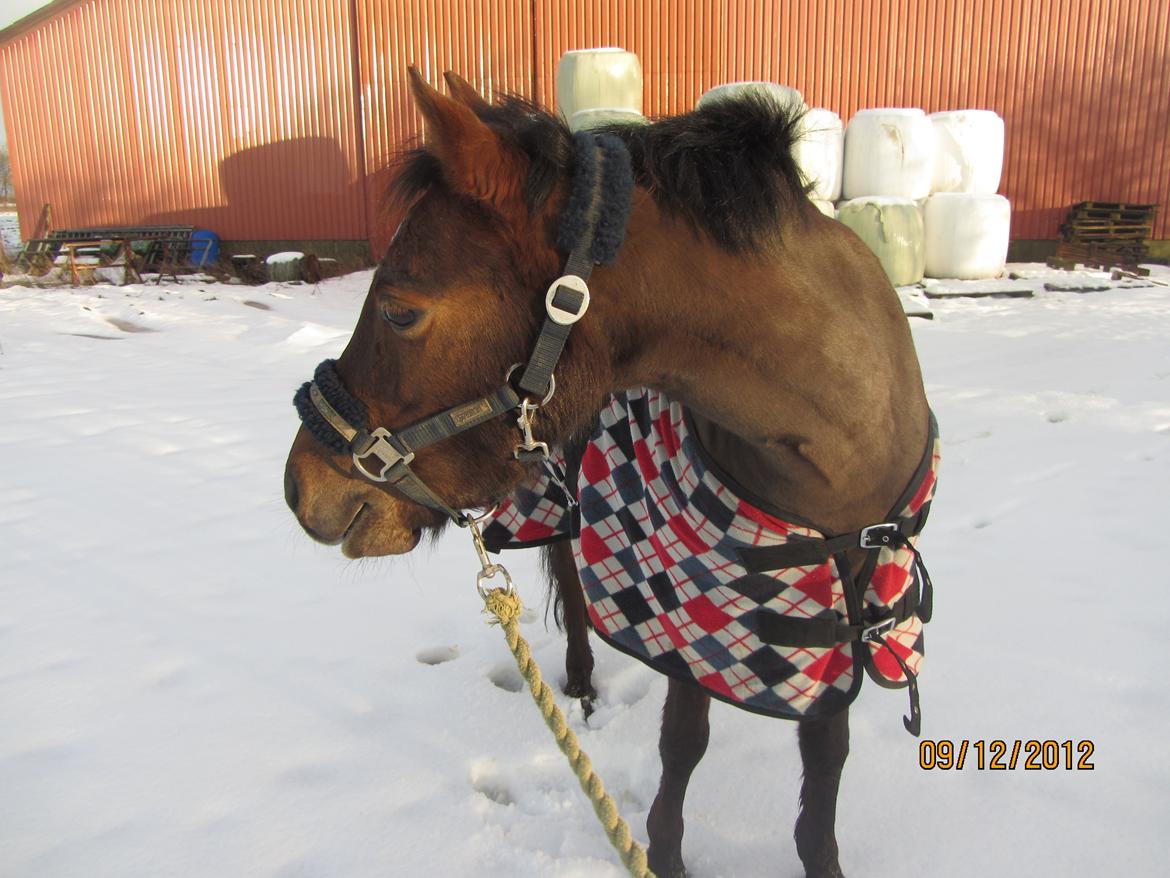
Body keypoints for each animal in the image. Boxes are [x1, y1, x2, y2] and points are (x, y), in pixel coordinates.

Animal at [284, 69, 935, 878]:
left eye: (401, 310)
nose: (301, 488)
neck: (841, 457)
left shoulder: (842, 618)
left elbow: (826, 754)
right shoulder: (695, 614)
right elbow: (684, 744)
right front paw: (665, 853)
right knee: (568, 584)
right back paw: (581, 684)